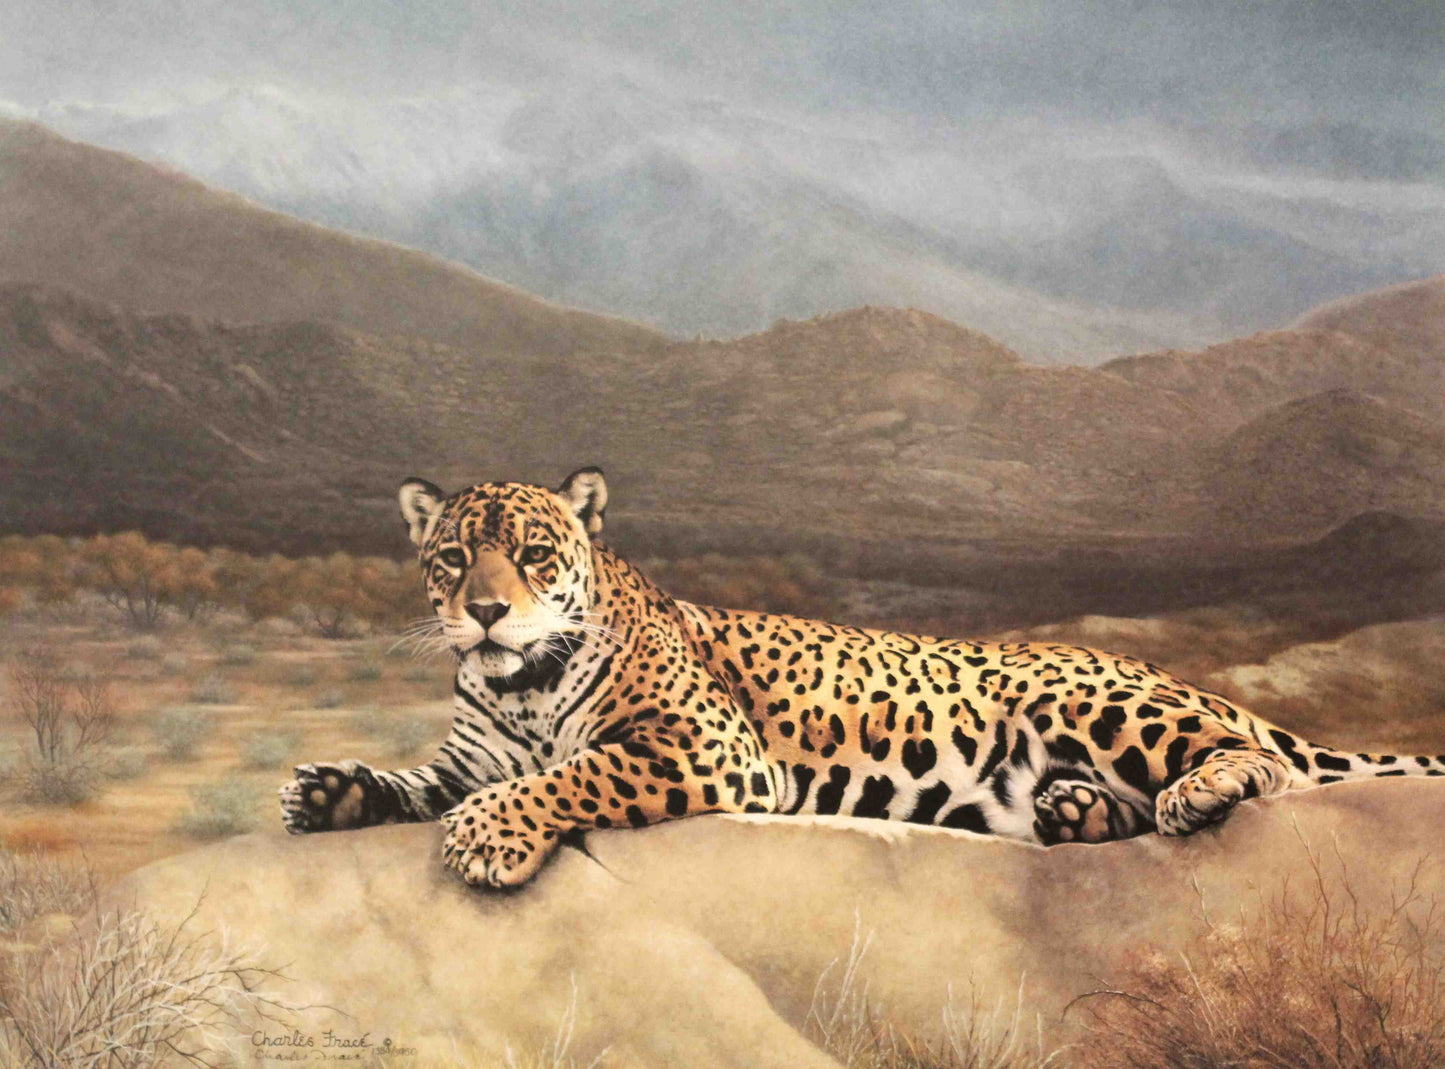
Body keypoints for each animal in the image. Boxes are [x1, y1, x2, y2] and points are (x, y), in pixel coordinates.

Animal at [278, 468, 1445, 887]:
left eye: (531, 555)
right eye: (450, 559)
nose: (484, 611)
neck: (517, 685)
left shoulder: (704, 746)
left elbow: (569, 775)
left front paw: (489, 836)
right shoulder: (466, 753)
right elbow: (416, 780)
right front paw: (327, 790)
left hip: (1095, 698)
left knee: (1262, 765)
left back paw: (1199, 788)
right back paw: (1074, 813)